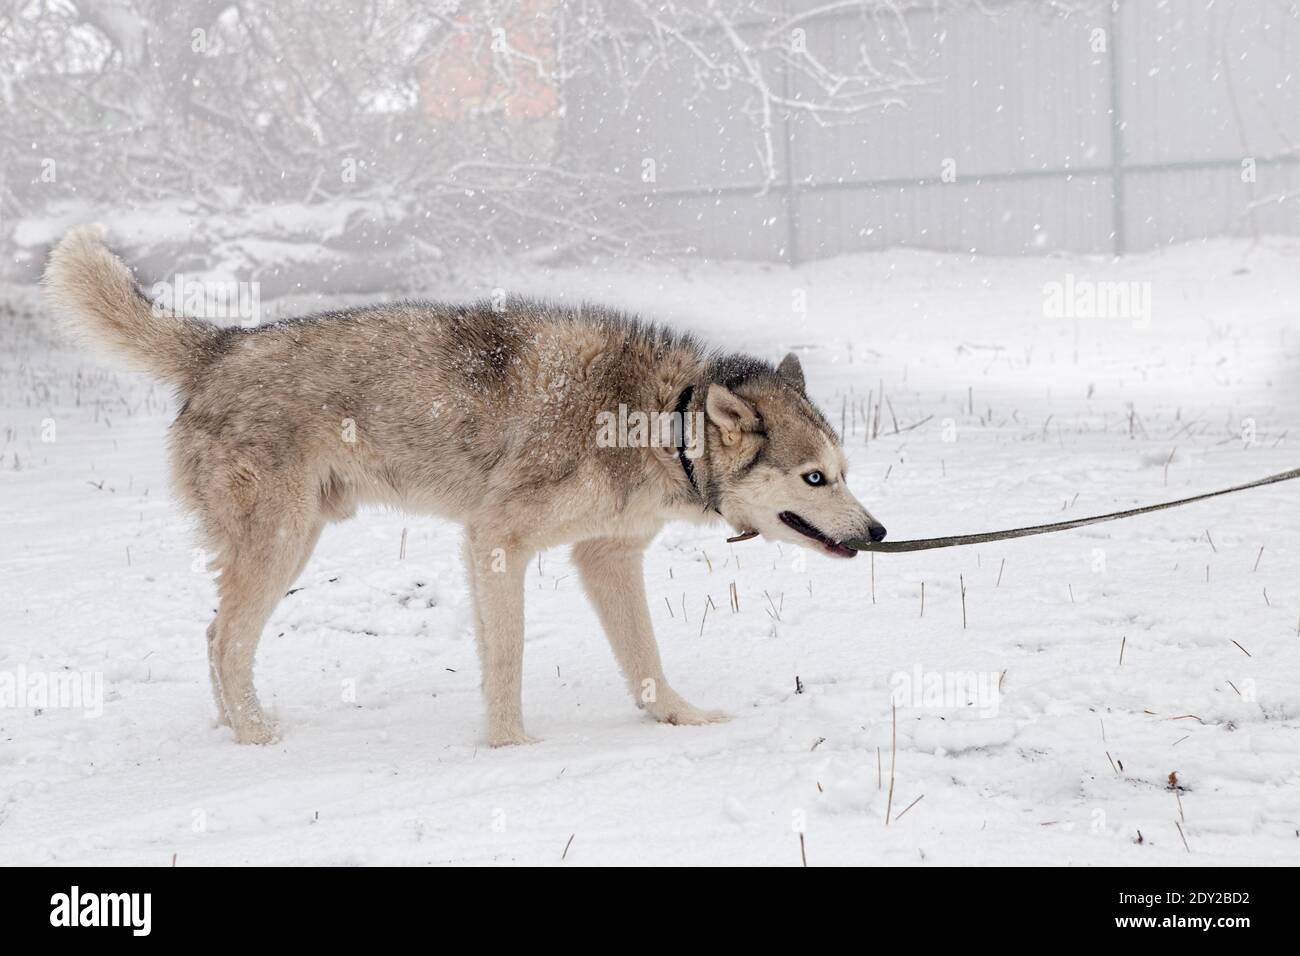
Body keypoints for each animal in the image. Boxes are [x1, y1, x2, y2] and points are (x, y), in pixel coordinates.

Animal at [45, 226, 889, 749]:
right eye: (815, 477)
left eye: (846, 474)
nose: (878, 532)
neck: (657, 421)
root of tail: (221, 344)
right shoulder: (496, 540)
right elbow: (506, 661)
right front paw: (512, 746)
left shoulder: (606, 558)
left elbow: (645, 662)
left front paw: (681, 719)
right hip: (280, 545)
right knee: (224, 640)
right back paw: (258, 738)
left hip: (297, 538)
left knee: (216, 636)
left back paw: (236, 730)